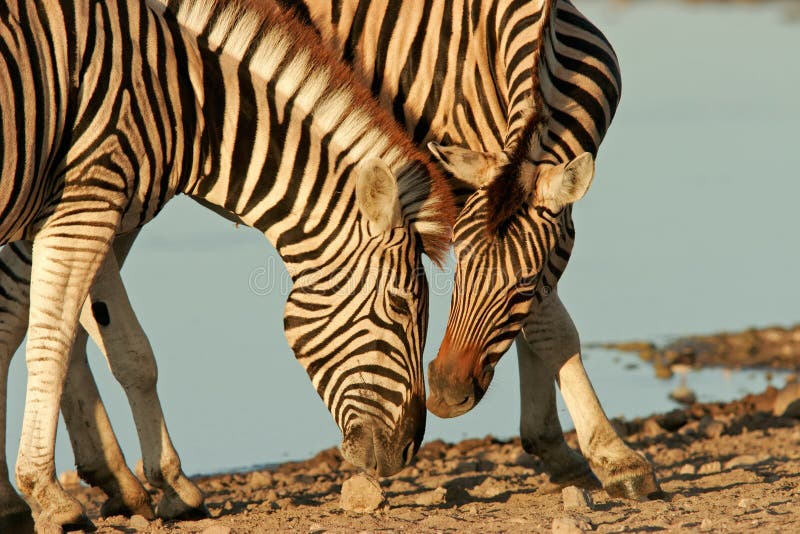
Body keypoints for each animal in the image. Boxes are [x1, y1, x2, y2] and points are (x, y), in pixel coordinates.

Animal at [0, 0, 454, 528]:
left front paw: (172, 484)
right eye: (401, 305)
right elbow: (49, 343)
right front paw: (49, 496)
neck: (189, 100)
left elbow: (131, 351)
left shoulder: (102, 205)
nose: (407, 451)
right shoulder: (86, 200)